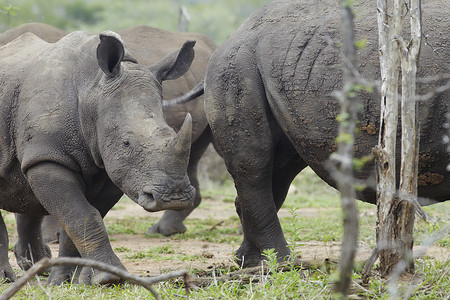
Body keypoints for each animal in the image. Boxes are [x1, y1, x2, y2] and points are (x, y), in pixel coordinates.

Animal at [0, 29, 197, 284]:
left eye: (172, 133)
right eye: (126, 143)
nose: (174, 197)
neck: (91, 91)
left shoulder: (111, 168)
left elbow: (81, 220)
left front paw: (70, 280)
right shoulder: (48, 157)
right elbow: (83, 215)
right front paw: (109, 278)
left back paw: (37, 270)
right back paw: (9, 278)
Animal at [205, 0, 450, 268]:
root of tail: (233, 35)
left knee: (281, 166)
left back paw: (252, 262)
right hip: (238, 64)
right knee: (256, 163)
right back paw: (281, 263)